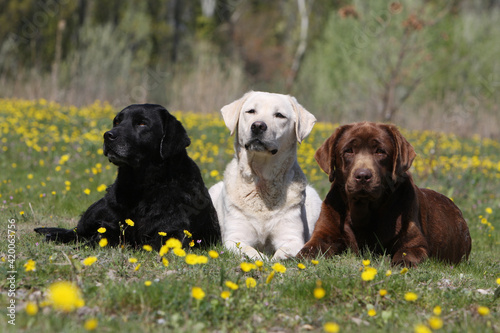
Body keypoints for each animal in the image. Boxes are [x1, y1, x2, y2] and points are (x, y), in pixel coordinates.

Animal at [35, 104, 221, 249]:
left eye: (142, 123)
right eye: (117, 121)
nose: (107, 135)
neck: (142, 186)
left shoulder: (173, 232)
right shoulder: (109, 227)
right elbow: (97, 239)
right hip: (97, 210)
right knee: (77, 231)